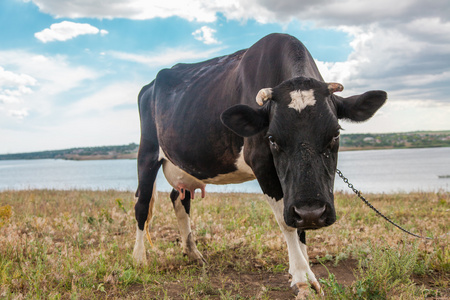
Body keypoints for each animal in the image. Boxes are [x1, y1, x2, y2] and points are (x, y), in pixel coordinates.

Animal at [133, 33, 386, 298]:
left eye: (336, 133)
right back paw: (140, 259)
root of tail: (150, 84)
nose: (312, 212)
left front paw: (307, 271)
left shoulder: (297, 193)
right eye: (272, 138)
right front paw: (301, 278)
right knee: (142, 203)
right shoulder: (261, 162)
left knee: (179, 198)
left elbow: (299, 226)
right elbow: (286, 222)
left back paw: (193, 253)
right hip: (147, 151)